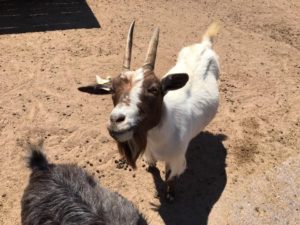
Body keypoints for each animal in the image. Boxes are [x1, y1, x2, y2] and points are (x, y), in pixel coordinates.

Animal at [79, 21, 220, 201]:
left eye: (154, 89)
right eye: (112, 89)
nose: (116, 121)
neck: (158, 138)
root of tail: (205, 45)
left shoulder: (177, 161)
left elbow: (171, 178)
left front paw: (170, 196)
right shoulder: (149, 151)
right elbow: (152, 165)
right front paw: (152, 169)